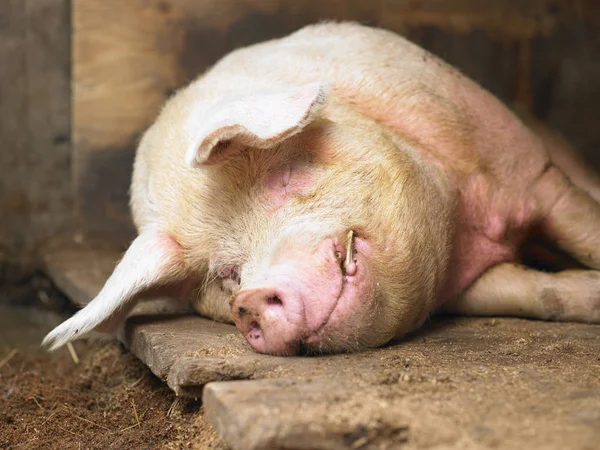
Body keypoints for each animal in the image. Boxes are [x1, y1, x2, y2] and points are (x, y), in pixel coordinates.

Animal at [42, 23, 600, 356]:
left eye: (283, 179)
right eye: (225, 275)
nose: (250, 300)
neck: (468, 228)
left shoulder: (537, 175)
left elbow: (584, 225)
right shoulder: (466, 288)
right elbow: (537, 293)